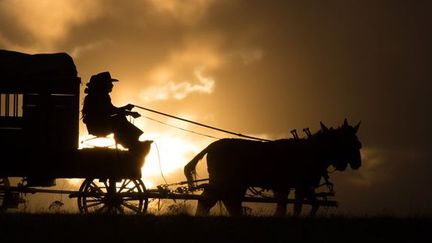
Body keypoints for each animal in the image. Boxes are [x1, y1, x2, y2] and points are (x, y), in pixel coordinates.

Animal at [183, 119, 362, 216]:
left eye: (358, 144)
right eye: (348, 143)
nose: (357, 163)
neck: (311, 151)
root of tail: (212, 146)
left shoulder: (287, 187)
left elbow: (290, 206)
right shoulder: (301, 185)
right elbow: (299, 206)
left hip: (231, 183)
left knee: (223, 201)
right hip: (224, 181)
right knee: (212, 200)